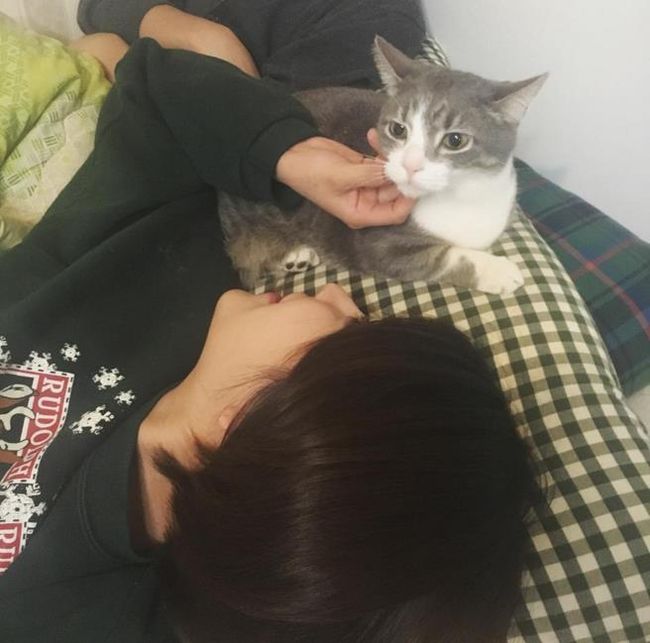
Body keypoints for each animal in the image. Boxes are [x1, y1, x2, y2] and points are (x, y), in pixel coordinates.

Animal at [219, 37, 547, 294]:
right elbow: (443, 258)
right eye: (398, 130)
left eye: (455, 140)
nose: (411, 165)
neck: (462, 196)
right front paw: (498, 270)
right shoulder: (380, 245)